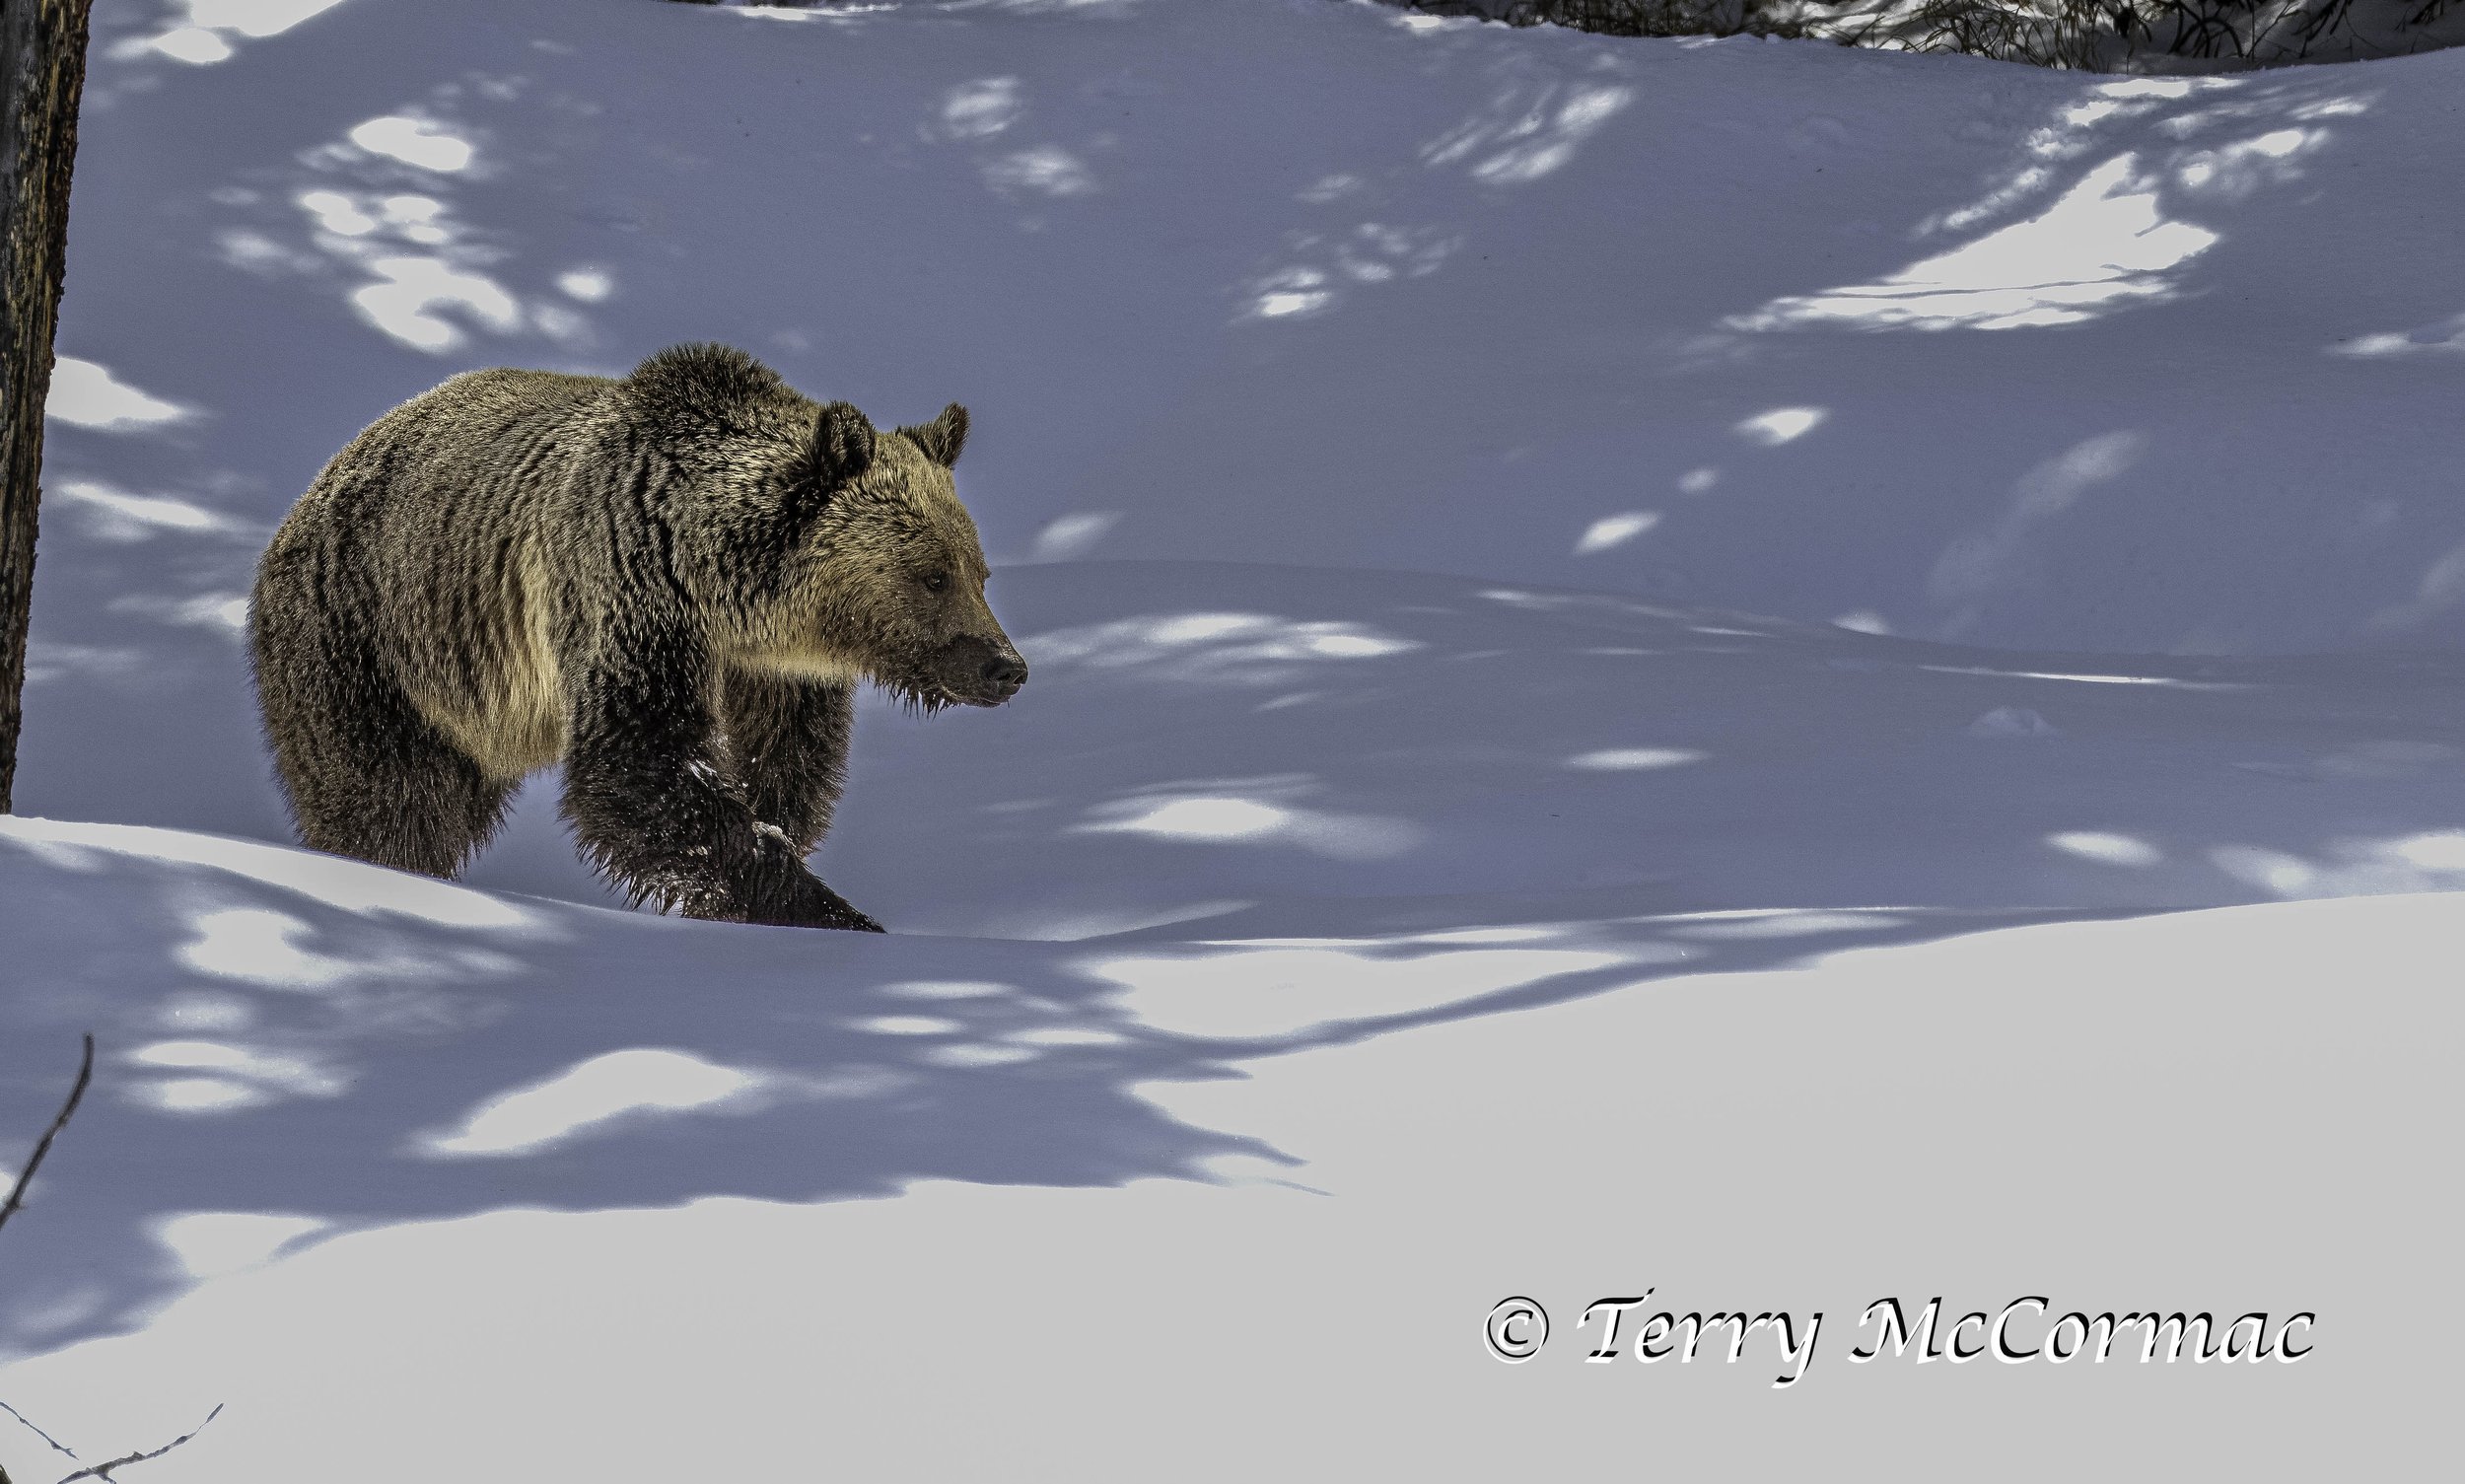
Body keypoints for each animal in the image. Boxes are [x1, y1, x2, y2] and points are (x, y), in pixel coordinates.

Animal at [247, 343, 1026, 932]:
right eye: (932, 575)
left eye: (980, 571)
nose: (1006, 667)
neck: (726, 589)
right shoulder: (629, 590)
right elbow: (638, 766)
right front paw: (827, 910)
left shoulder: (772, 674)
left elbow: (782, 771)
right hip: (373, 646)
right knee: (388, 803)